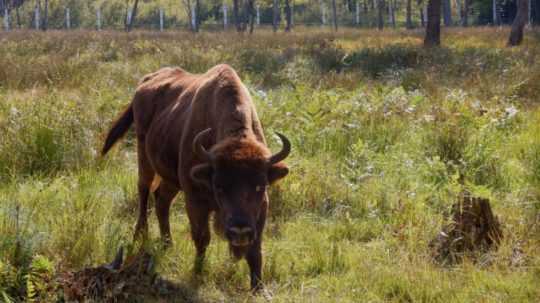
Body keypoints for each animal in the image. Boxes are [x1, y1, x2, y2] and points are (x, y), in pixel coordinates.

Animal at [101, 64, 292, 290]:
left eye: (259, 186)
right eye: (219, 187)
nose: (240, 232)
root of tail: (146, 82)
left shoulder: (262, 206)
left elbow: (255, 249)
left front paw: (258, 288)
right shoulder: (194, 199)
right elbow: (202, 238)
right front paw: (198, 273)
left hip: (171, 179)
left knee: (161, 201)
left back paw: (168, 243)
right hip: (144, 158)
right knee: (144, 193)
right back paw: (141, 235)